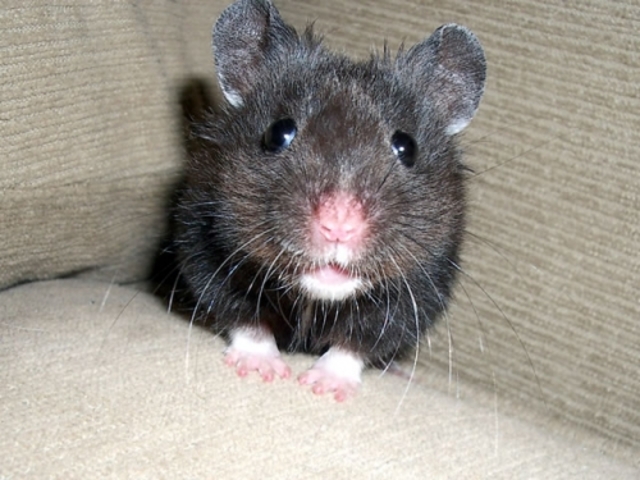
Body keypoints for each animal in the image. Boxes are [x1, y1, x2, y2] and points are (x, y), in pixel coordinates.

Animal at [173, 0, 486, 401]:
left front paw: (323, 387)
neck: (318, 297)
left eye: (407, 147)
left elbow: (358, 341)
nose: (339, 225)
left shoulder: (421, 287)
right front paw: (262, 370)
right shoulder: (205, 246)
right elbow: (246, 319)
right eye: (278, 133)